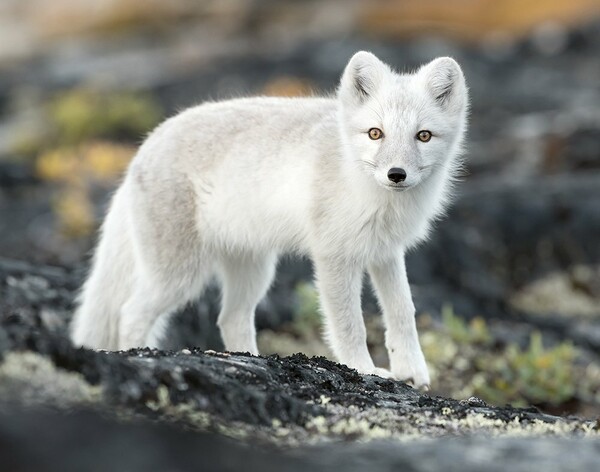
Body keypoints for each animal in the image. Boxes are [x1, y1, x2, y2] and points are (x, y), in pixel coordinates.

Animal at [71, 50, 468, 388]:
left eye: (423, 136)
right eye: (375, 133)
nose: (396, 174)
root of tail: (144, 147)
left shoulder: (386, 252)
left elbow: (403, 312)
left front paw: (412, 372)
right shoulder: (334, 256)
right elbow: (349, 324)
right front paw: (364, 369)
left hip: (254, 270)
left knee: (230, 318)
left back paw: (247, 359)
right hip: (180, 274)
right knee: (131, 312)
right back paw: (135, 354)